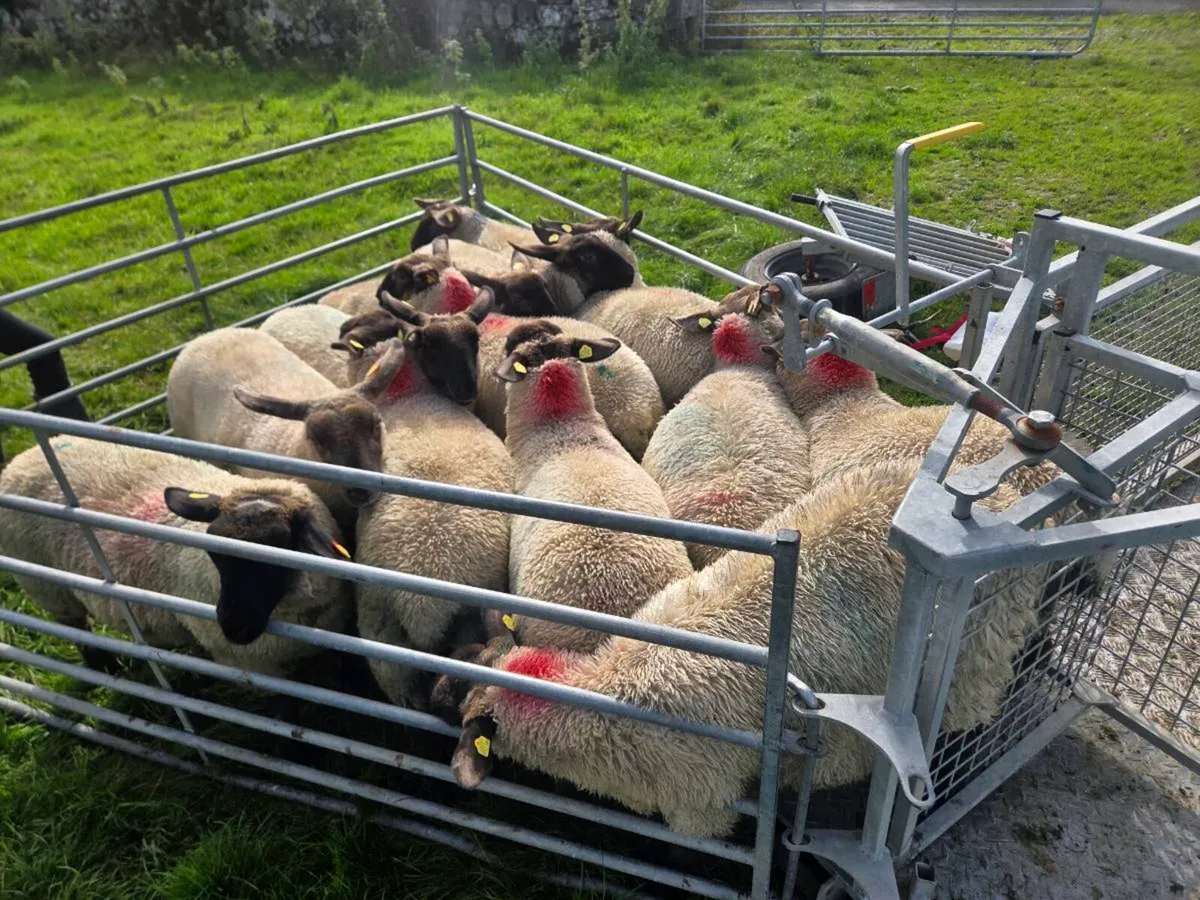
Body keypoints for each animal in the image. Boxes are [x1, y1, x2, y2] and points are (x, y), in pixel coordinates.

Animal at [0, 438, 352, 676]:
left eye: (280, 553)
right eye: (214, 555)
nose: (233, 628)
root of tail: (22, 458)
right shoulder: (252, 663)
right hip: (47, 586)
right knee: (76, 628)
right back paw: (106, 668)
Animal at [333, 297, 513, 709]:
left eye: (474, 339)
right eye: (430, 343)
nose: (466, 389)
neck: (408, 395)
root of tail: (423, 607)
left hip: (388, 652)